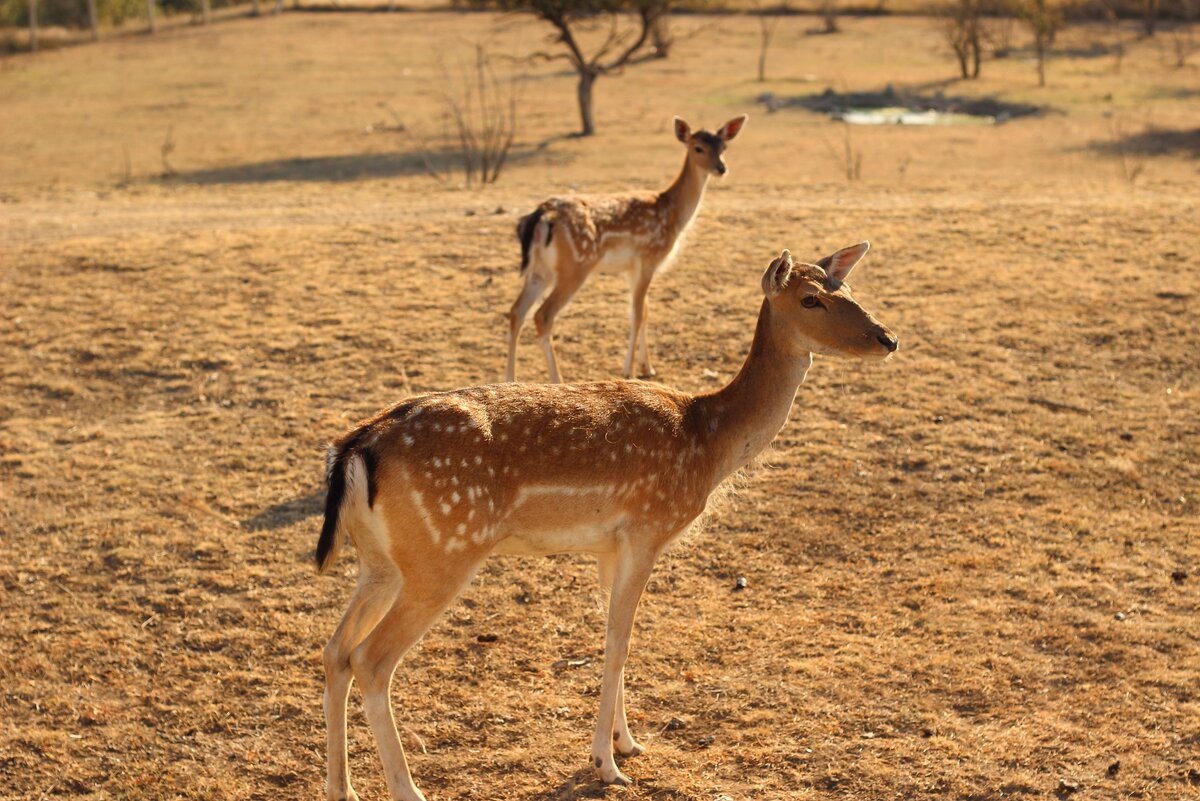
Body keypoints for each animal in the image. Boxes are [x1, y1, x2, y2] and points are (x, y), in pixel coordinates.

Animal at [319, 242, 902, 801]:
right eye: (810, 299)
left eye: (848, 287)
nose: (887, 338)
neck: (707, 442)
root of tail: (356, 449)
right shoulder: (646, 529)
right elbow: (620, 641)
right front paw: (606, 764)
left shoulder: (608, 546)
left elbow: (611, 633)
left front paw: (628, 741)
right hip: (441, 555)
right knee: (371, 659)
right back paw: (407, 789)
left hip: (380, 563)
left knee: (336, 649)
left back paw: (341, 786)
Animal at [501, 113, 744, 383]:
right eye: (698, 147)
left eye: (723, 147)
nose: (721, 168)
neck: (673, 214)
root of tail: (541, 215)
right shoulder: (649, 256)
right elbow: (637, 314)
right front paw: (629, 371)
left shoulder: (632, 269)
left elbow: (645, 311)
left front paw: (648, 367)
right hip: (575, 265)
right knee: (542, 315)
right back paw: (557, 381)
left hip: (539, 270)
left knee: (516, 312)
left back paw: (510, 380)